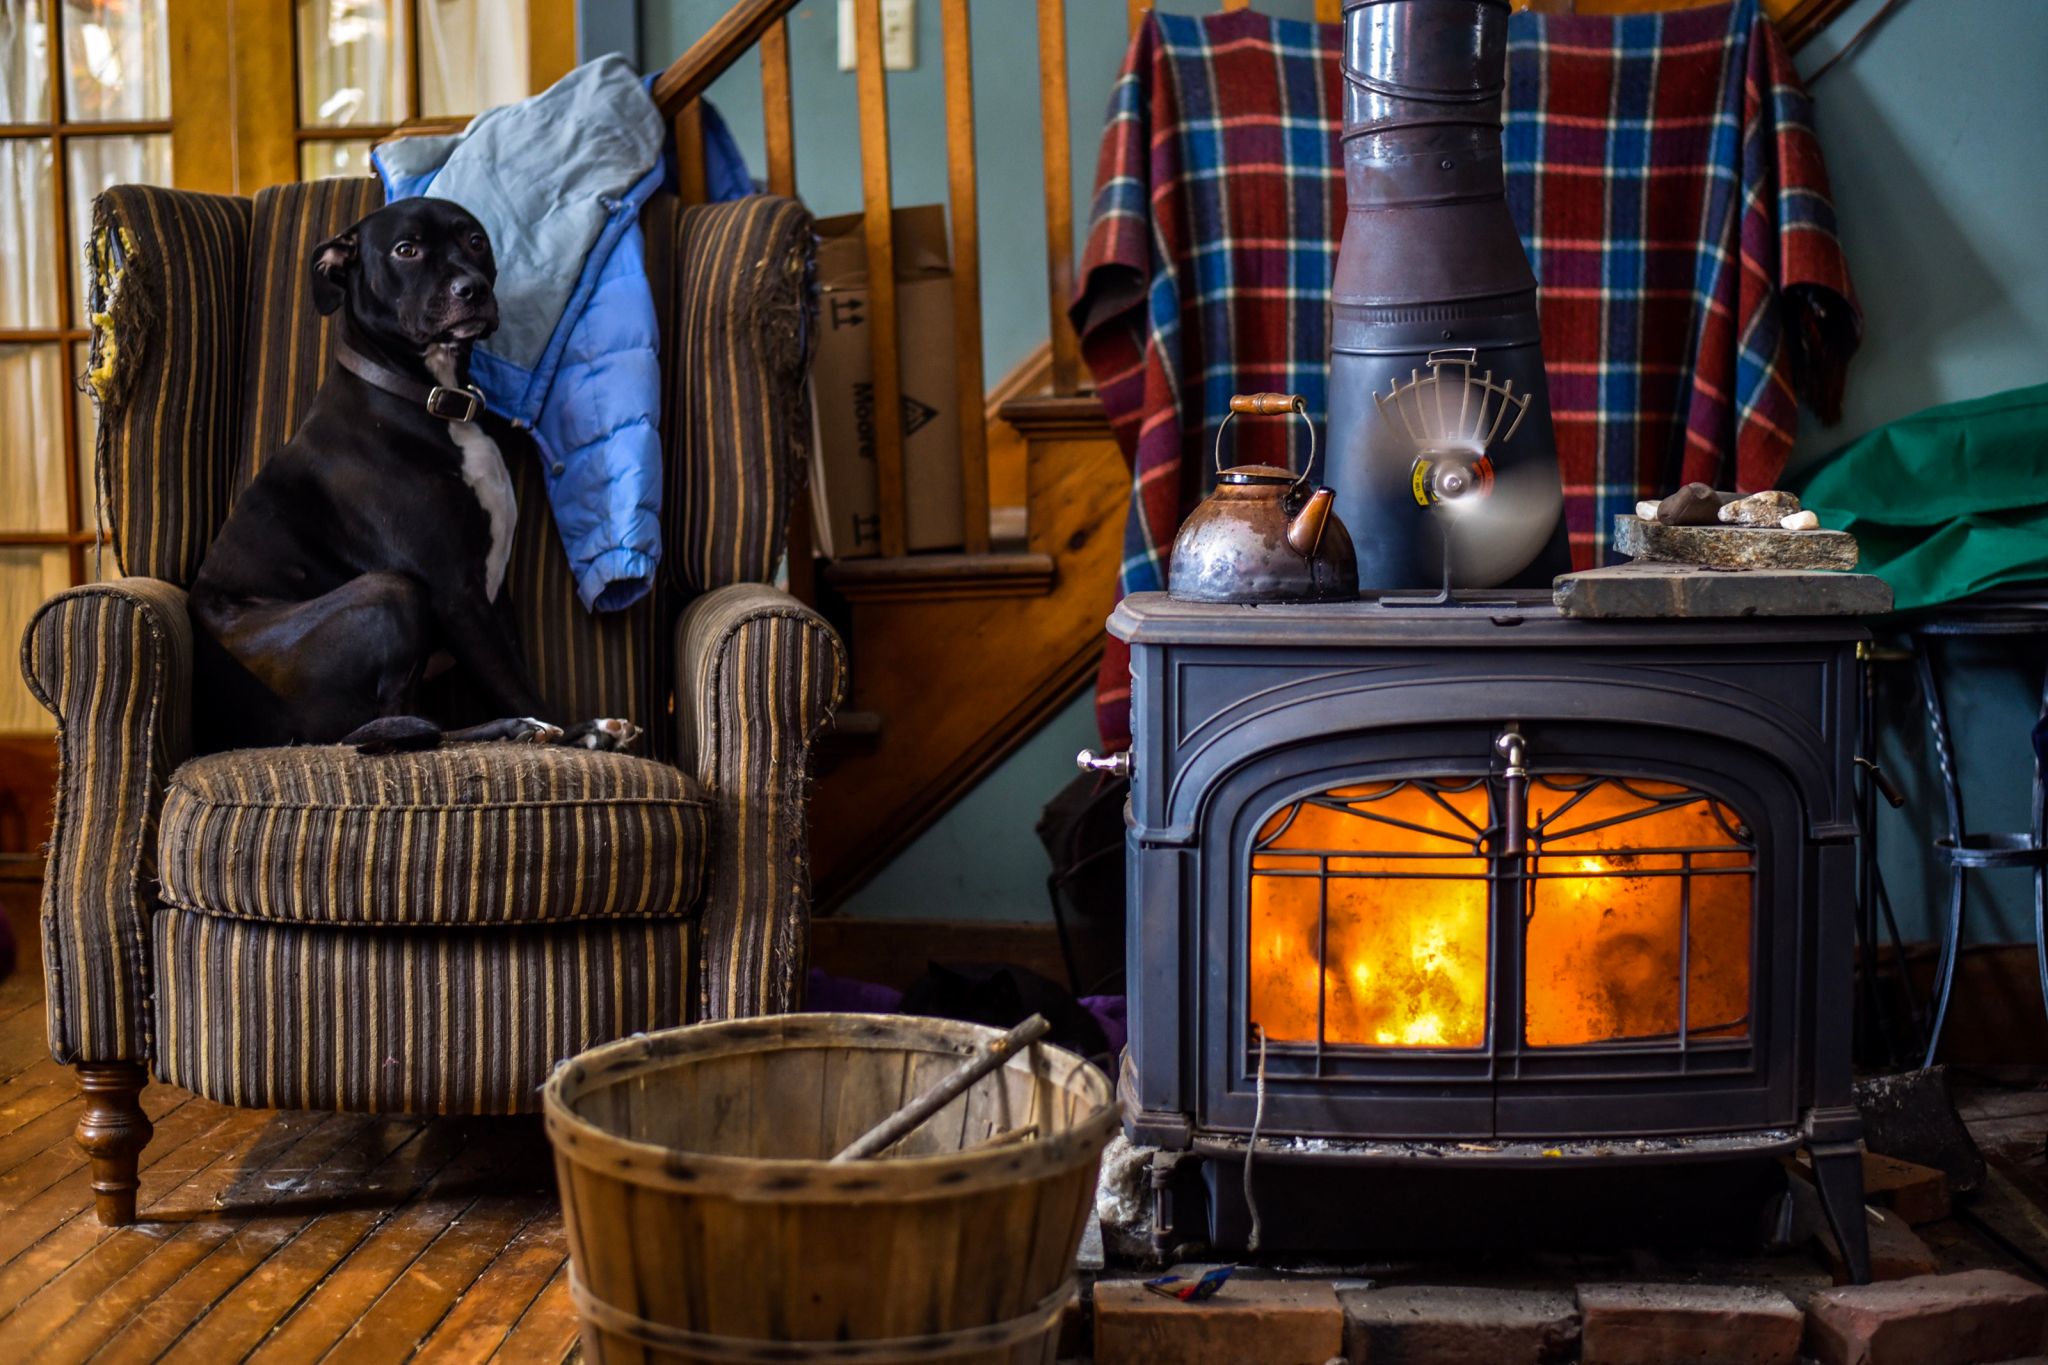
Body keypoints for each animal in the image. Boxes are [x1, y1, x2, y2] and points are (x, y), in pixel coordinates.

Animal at [193, 200, 638, 757]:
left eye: (475, 241)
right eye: (407, 250)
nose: (472, 289)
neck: (429, 397)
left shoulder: (494, 598)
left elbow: (513, 670)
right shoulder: (456, 593)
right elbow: (517, 685)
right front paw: (570, 734)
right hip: (392, 592)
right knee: (395, 730)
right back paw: (526, 729)